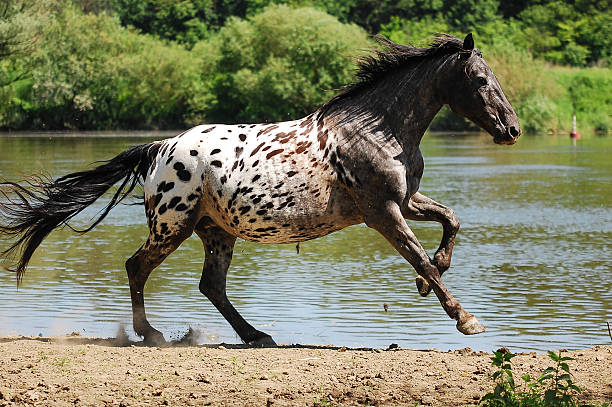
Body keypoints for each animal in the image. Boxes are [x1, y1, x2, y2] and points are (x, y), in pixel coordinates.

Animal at [0, 34, 520, 348]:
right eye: (479, 79)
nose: (512, 129)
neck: (378, 130)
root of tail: (160, 147)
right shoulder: (382, 212)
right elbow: (419, 256)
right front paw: (466, 318)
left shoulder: (406, 202)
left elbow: (451, 222)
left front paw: (429, 279)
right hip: (172, 225)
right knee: (136, 266)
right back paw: (152, 334)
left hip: (215, 232)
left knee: (210, 285)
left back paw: (254, 336)